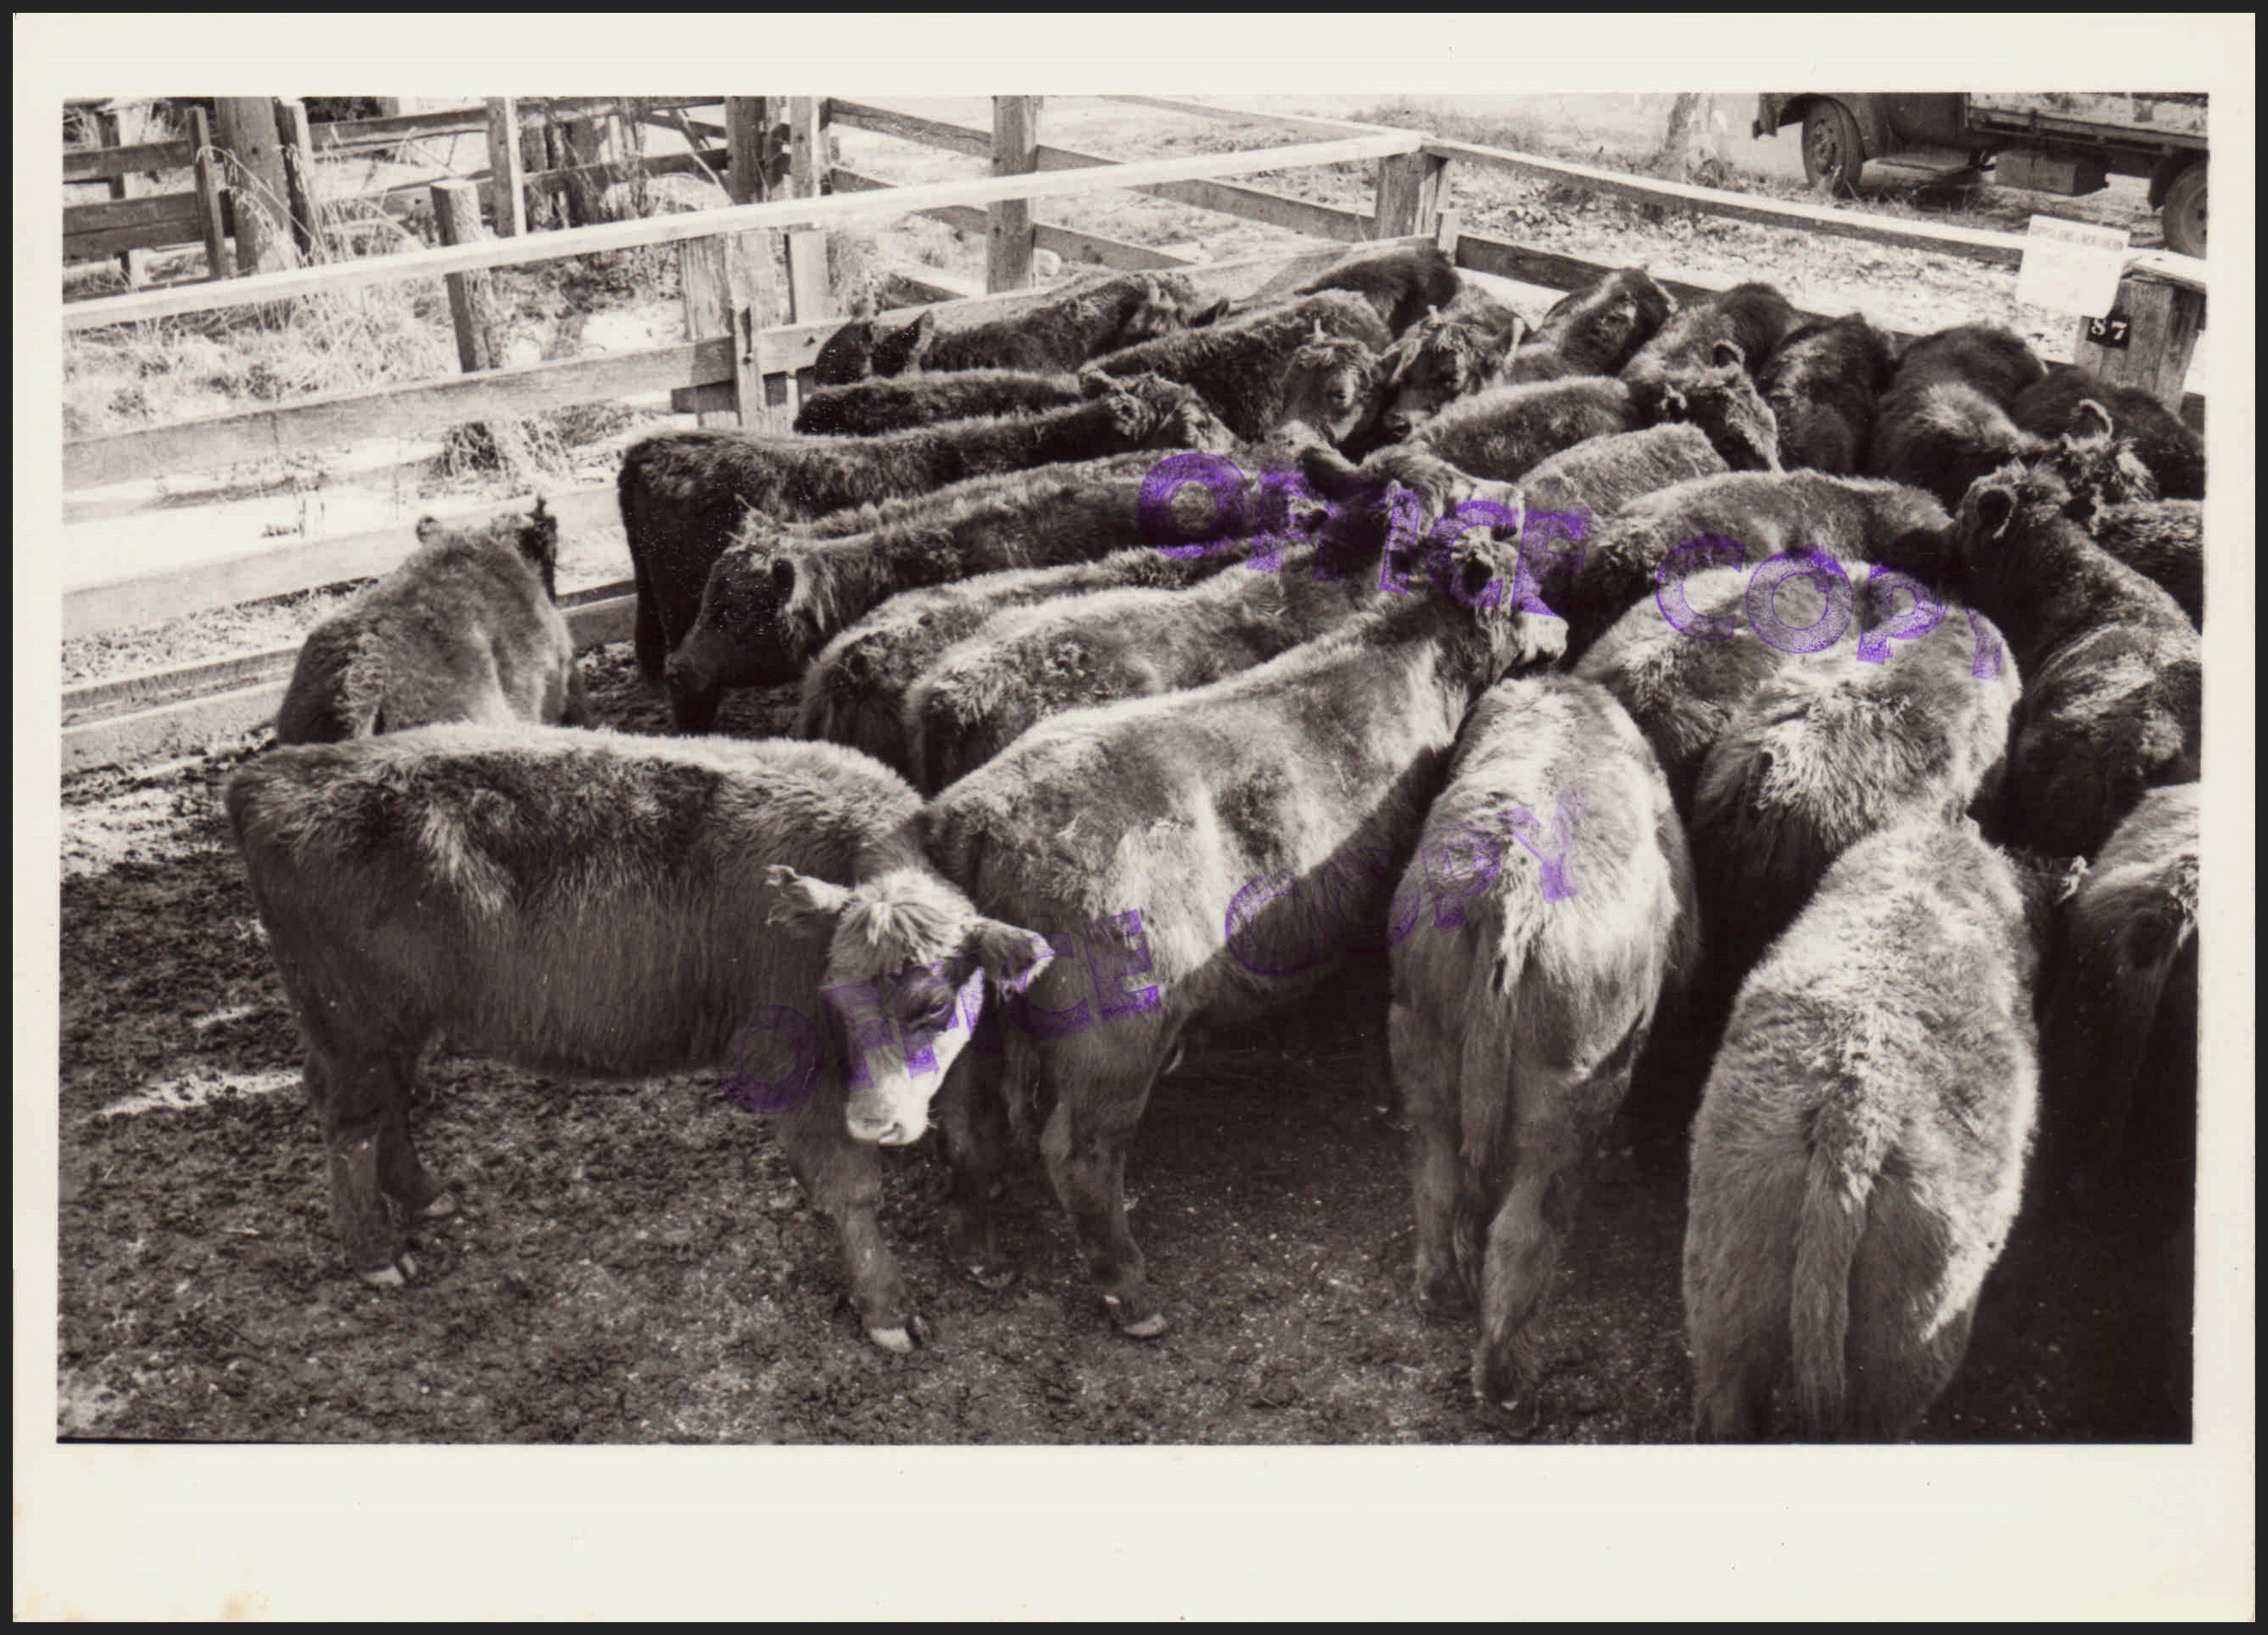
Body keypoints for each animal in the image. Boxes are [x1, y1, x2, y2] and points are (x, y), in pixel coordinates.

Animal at [224, 724, 1053, 1352]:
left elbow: (973, 1141)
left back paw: (426, 1197)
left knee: (384, 1108)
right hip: (353, 1024)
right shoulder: (791, 1065)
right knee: (351, 1124)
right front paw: (885, 1309)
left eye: (933, 1002)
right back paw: (374, 1252)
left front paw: (979, 1254)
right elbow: (849, 1190)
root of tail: (276, 772)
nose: (876, 1120)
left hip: (392, 1028)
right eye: (832, 997)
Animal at [916, 516, 1568, 1337]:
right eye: (1526, 588)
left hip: (980, 1026)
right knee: (1077, 1152)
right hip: (1113, 1030)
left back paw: (979, 1253)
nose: (1565, 624)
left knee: (968, 1121)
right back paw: (1131, 1293)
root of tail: (976, 815)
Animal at [1391, 674, 1695, 1435]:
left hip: (1419, 1039)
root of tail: (1511, 887)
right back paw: (1508, 1389)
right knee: (1523, 1232)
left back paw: (1439, 1291)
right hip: (1568, 1098)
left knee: (1437, 1176)